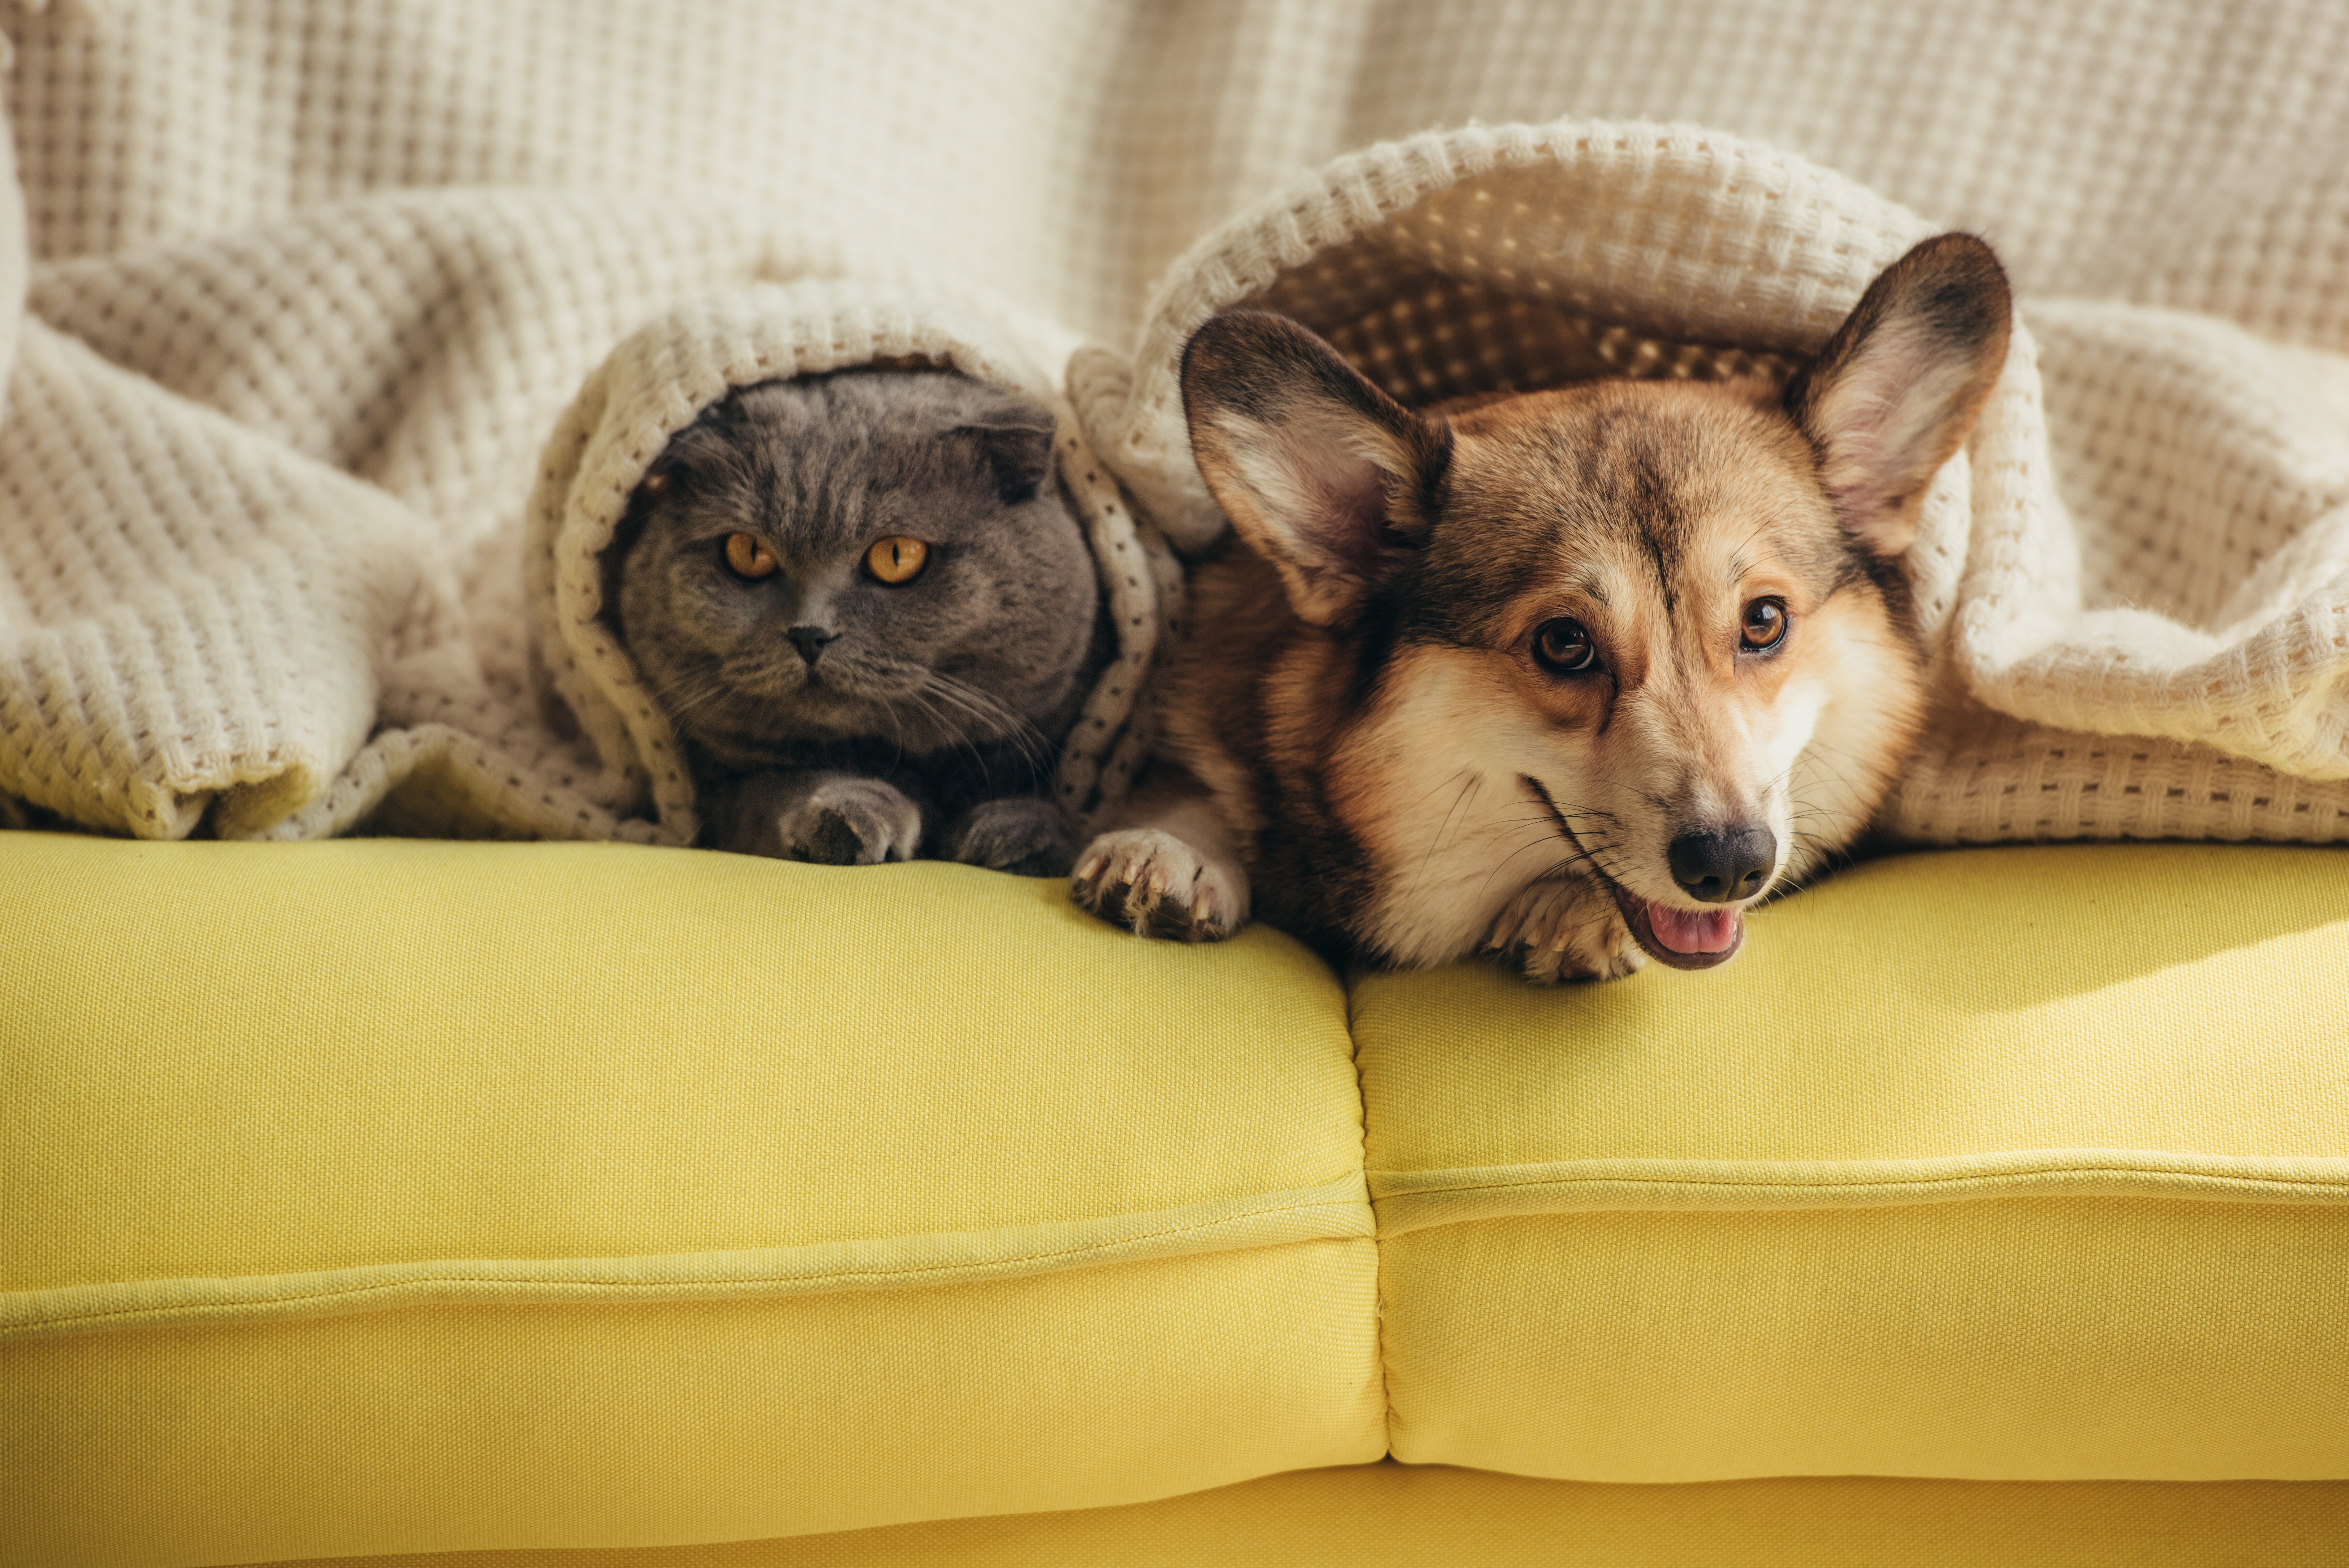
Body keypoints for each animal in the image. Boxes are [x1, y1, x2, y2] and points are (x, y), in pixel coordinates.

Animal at [615, 374, 1109, 879]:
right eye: (748, 553)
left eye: (897, 555)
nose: (809, 633)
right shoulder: (717, 791)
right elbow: (769, 789)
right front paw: (847, 816)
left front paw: (1021, 832)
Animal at [1076, 235, 2011, 982]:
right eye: (1563, 643)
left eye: (1763, 622)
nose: (1731, 866)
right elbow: (1194, 784)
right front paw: (1170, 847)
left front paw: (1571, 909)